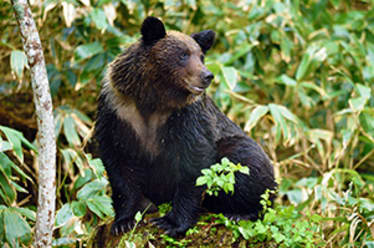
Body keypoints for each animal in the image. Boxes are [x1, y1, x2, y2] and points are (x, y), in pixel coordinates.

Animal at [95, 16, 276, 237]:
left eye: (201, 56)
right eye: (183, 55)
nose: (207, 75)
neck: (152, 99)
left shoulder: (185, 118)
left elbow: (194, 163)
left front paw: (170, 222)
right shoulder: (118, 114)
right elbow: (119, 165)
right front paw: (125, 220)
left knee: (245, 165)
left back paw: (240, 213)